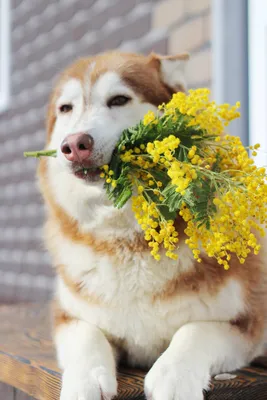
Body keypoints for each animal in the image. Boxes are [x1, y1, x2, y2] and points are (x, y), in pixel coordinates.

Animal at [38, 50, 267, 400]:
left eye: (119, 99)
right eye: (66, 108)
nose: (75, 144)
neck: (127, 237)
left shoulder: (249, 321)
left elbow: (195, 330)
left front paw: (174, 376)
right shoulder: (66, 314)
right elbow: (86, 336)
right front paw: (84, 381)